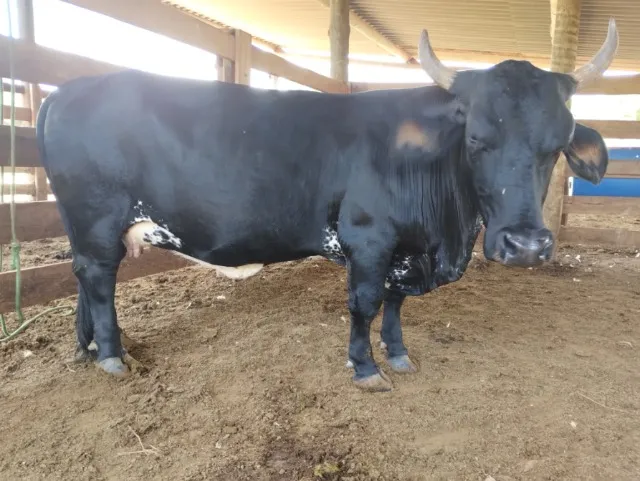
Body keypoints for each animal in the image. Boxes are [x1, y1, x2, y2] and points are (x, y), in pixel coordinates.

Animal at [36, 19, 617, 392]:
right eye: (476, 138)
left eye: (557, 143)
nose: (527, 246)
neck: (444, 235)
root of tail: (67, 90)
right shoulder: (368, 239)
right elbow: (365, 303)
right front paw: (365, 369)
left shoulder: (403, 250)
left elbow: (395, 304)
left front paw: (399, 355)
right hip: (97, 219)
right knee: (98, 278)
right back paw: (113, 356)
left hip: (88, 226)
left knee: (87, 280)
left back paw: (89, 349)